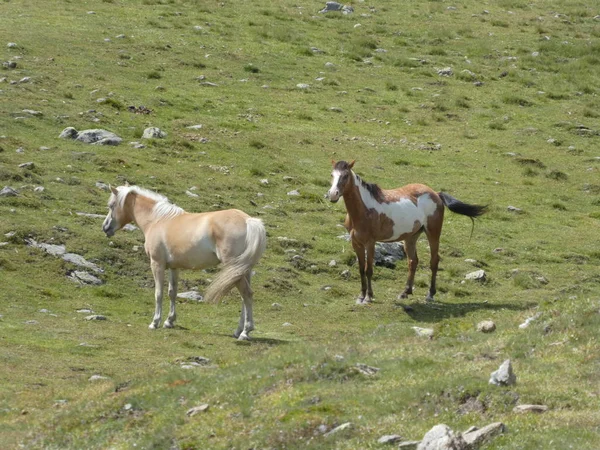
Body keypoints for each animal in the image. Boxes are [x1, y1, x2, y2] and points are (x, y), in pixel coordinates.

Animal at [102, 185, 266, 340]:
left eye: (111, 205)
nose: (105, 227)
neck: (157, 220)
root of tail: (248, 221)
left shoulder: (157, 264)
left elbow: (158, 293)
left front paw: (155, 322)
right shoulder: (174, 267)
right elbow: (172, 292)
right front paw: (169, 321)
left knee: (247, 294)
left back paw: (245, 332)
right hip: (242, 271)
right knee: (244, 298)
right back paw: (238, 331)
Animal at [326, 160, 486, 304]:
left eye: (345, 175)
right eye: (332, 175)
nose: (333, 194)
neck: (363, 210)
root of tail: (436, 194)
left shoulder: (370, 243)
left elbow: (368, 269)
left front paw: (368, 297)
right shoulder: (356, 243)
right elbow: (361, 269)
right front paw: (361, 296)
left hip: (433, 233)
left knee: (434, 261)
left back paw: (430, 295)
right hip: (411, 237)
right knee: (413, 262)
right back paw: (405, 292)